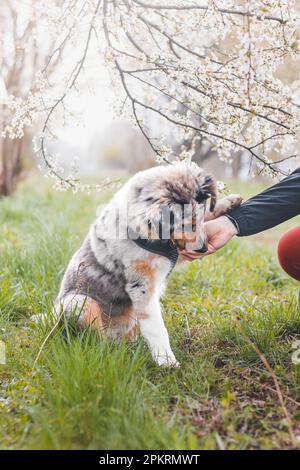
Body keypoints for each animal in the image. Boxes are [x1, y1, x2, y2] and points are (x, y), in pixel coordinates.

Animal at [48, 163, 243, 366]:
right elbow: (156, 327)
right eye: (183, 225)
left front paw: (229, 201)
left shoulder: (172, 254)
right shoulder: (142, 285)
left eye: (199, 217)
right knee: (97, 340)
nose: (203, 249)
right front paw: (167, 361)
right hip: (77, 302)